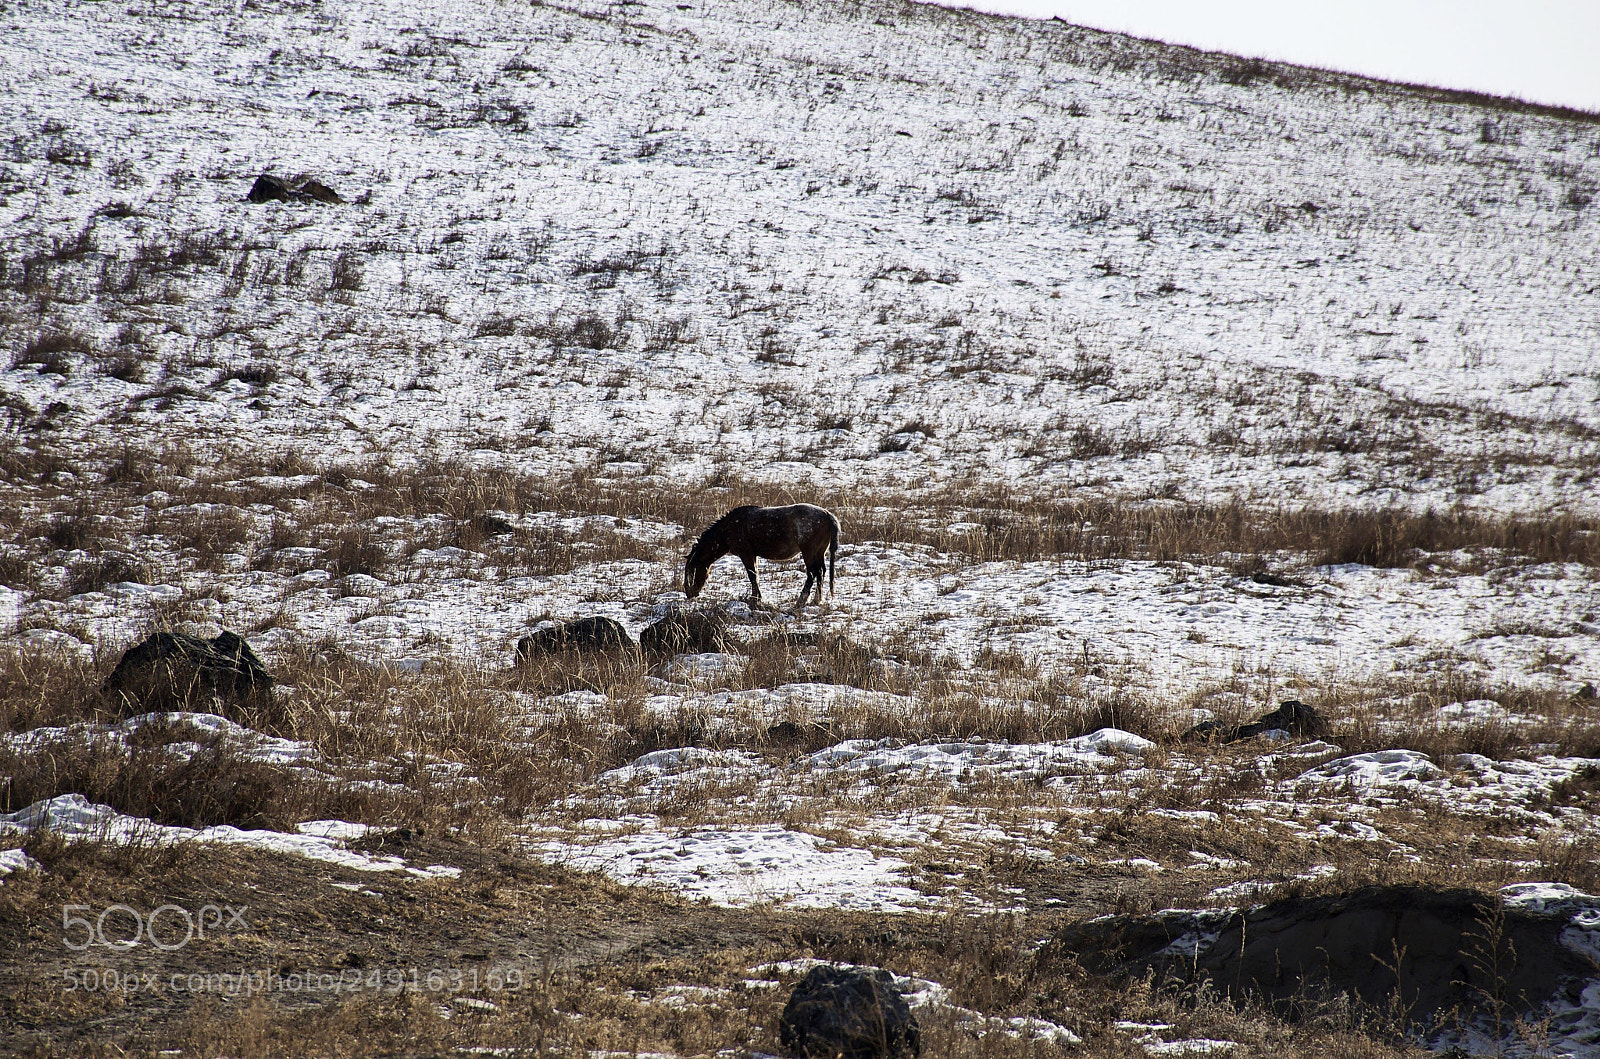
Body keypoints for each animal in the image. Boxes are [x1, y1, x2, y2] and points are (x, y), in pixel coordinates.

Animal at [684, 504, 839, 610]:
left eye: (691, 570)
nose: (689, 594)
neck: (728, 529)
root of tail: (827, 515)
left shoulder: (746, 554)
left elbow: (752, 575)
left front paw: (755, 599)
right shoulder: (753, 555)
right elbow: (756, 575)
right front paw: (757, 598)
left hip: (808, 551)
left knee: (812, 573)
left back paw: (801, 601)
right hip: (819, 552)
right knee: (821, 572)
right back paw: (816, 600)